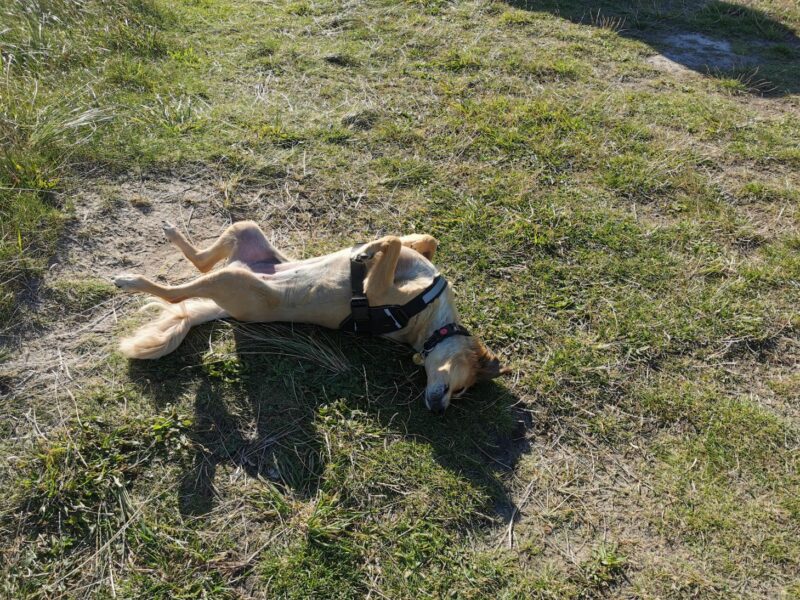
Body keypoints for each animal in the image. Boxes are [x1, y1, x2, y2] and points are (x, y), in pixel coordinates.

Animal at [113, 220, 510, 412]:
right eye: (461, 388)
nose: (439, 410)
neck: (430, 323)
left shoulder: (379, 293)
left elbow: (396, 242)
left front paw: (369, 250)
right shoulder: (403, 272)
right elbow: (414, 240)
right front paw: (369, 247)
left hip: (234, 281)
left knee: (178, 289)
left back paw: (131, 280)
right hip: (246, 231)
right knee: (198, 262)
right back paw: (170, 237)